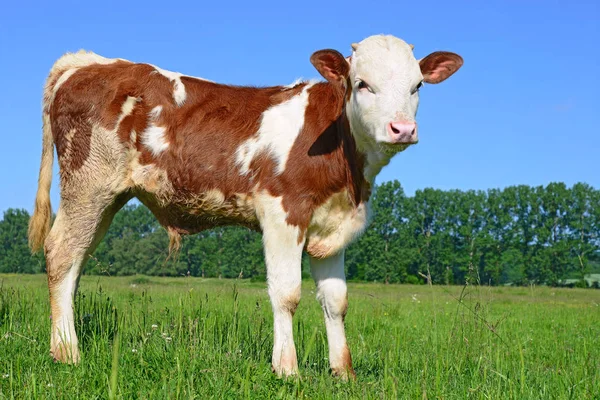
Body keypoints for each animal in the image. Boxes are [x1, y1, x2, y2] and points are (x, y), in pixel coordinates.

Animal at [29, 35, 464, 378]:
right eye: (362, 84)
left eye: (417, 86)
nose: (402, 129)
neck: (350, 173)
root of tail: (89, 62)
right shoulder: (283, 213)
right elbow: (287, 294)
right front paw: (287, 369)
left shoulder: (331, 227)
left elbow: (336, 302)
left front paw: (343, 371)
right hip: (88, 186)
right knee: (62, 253)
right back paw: (67, 351)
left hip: (105, 198)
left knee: (75, 262)